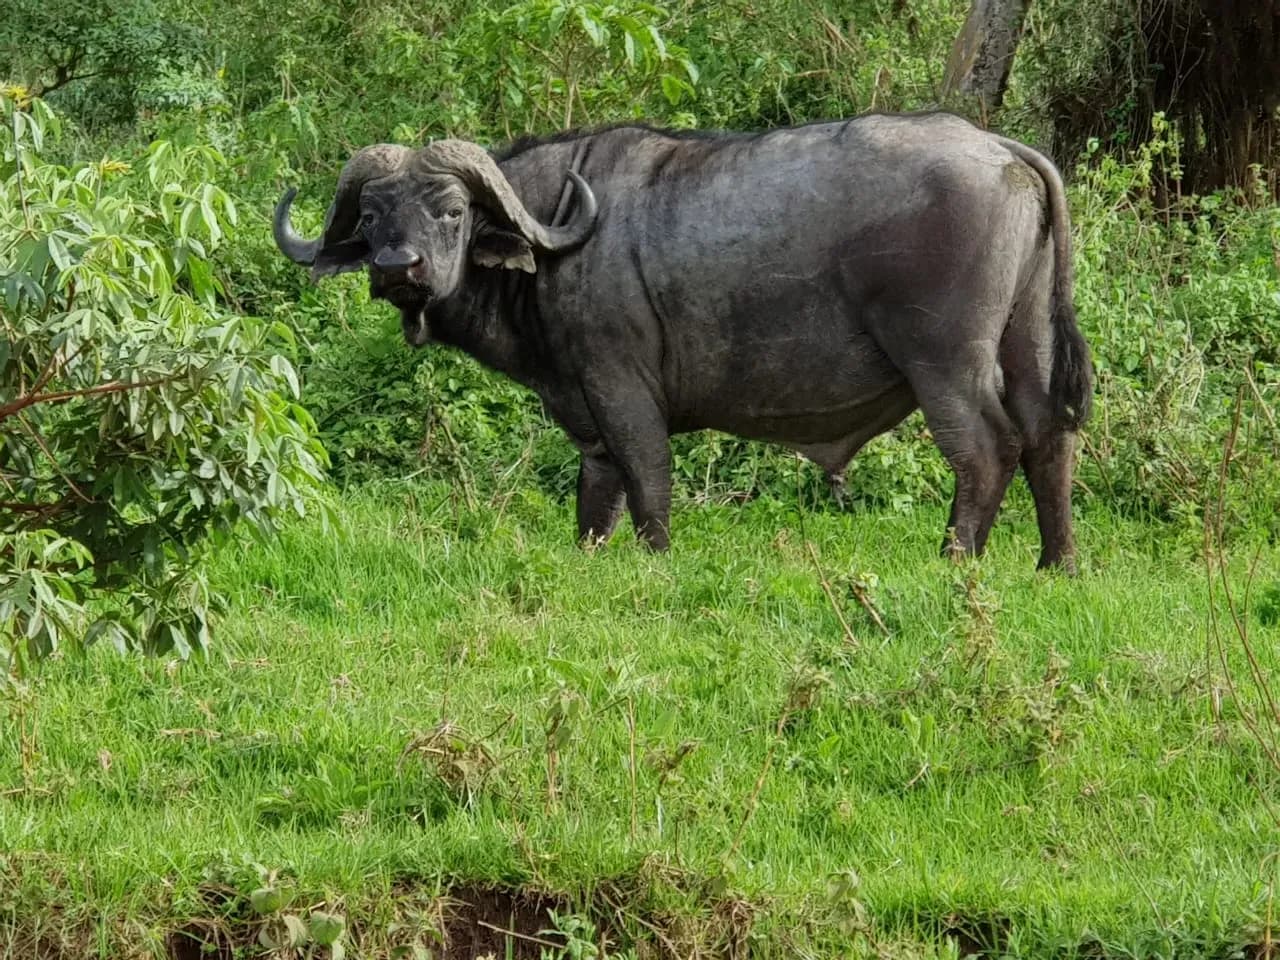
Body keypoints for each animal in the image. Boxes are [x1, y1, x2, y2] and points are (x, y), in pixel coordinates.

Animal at [274, 113, 1093, 571]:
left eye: (450, 211)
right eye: (371, 215)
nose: (396, 268)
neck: (560, 233)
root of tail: (999, 149)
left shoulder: (624, 392)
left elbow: (648, 482)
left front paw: (656, 559)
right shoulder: (587, 413)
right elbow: (596, 496)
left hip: (944, 361)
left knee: (987, 448)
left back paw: (955, 560)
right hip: (1025, 344)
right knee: (1049, 437)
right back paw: (1056, 563)